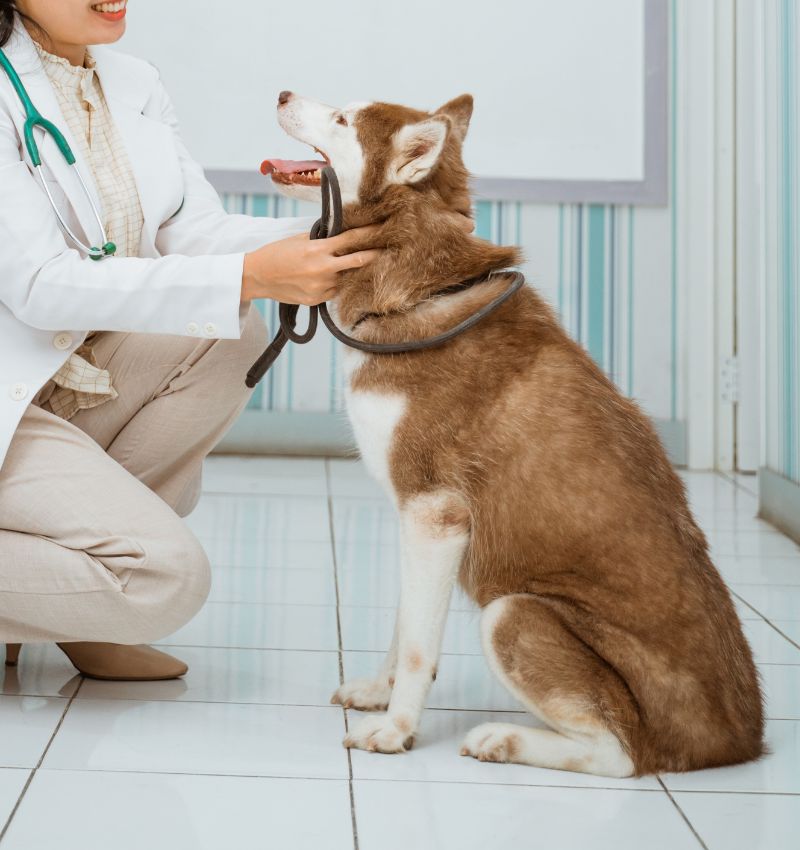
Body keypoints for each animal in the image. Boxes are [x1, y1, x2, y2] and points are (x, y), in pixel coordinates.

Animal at [266, 89, 764, 772]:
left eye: (343, 118)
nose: (283, 93)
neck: (415, 287)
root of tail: (736, 742)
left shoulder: (435, 515)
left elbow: (418, 647)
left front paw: (396, 730)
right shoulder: (415, 520)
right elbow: (404, 624)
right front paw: (378, 694)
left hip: (514, 613)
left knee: (620, 755)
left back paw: (502, 740)